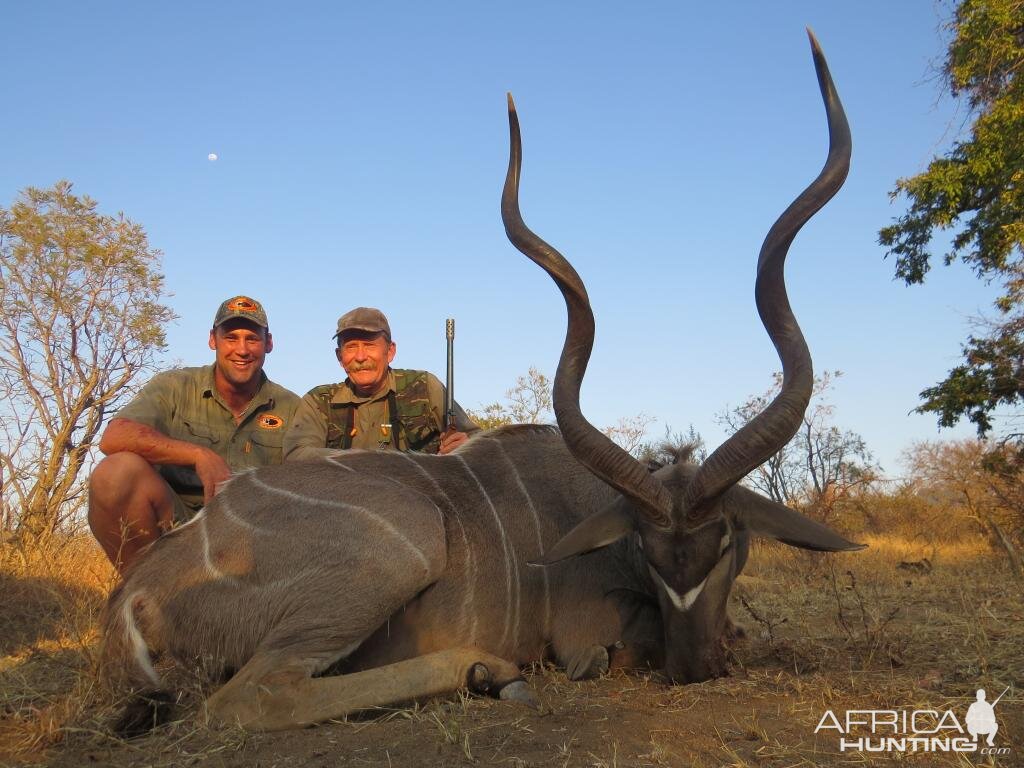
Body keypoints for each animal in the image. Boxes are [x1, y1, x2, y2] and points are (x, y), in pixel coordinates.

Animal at [99, 33, 860, 733]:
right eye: (646, 552)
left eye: (727, 541)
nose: (695, 666)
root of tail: (137, 595)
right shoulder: (587, 635)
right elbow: (607, 652)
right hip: (394, 554)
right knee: (250, 697)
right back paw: (487, 670)